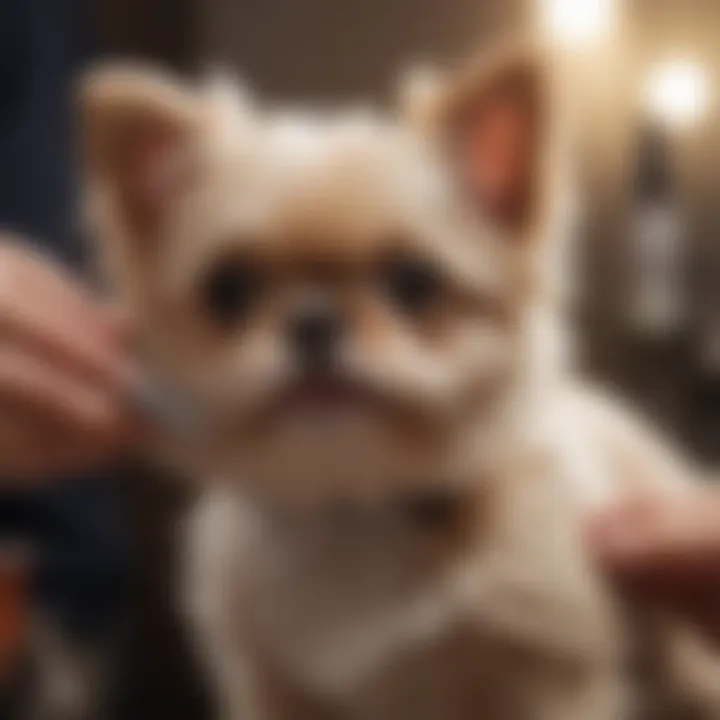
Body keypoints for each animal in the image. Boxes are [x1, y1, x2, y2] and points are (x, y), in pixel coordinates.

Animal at [80, 42, 720, 716]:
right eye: (229, 290)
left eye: (412, 283)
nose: (314, 321)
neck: (356, 507)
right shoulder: (274, 689)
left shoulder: (552, 678)